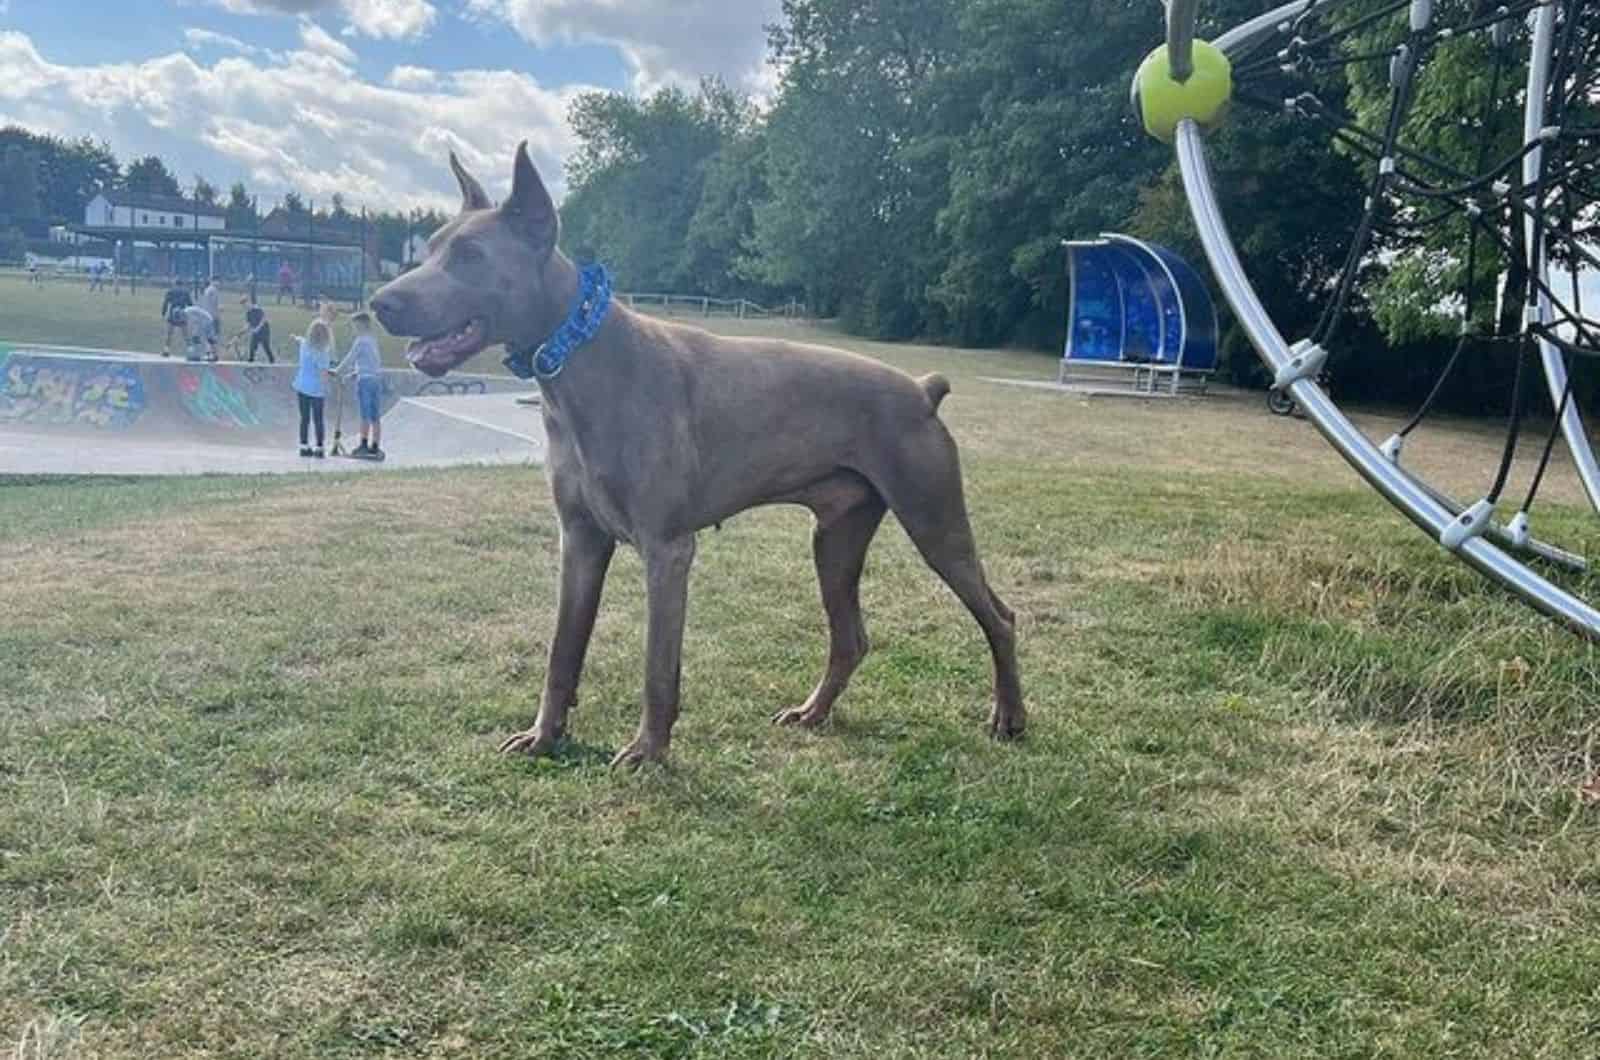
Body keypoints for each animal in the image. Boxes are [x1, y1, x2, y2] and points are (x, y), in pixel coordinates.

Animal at [369, 145, 1024, 768]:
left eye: (471, 255)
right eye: (431, 248)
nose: (380, 303)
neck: (580, 361)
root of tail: (921, 388)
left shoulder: (667, 549)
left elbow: (657, 668)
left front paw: (647, 751)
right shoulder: (579, 540)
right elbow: (562, 652)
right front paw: (544, 736)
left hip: (934, 519)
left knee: (999, 616)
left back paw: (1009, 717)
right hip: (835, 538)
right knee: (851, 638)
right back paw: (812, 712)